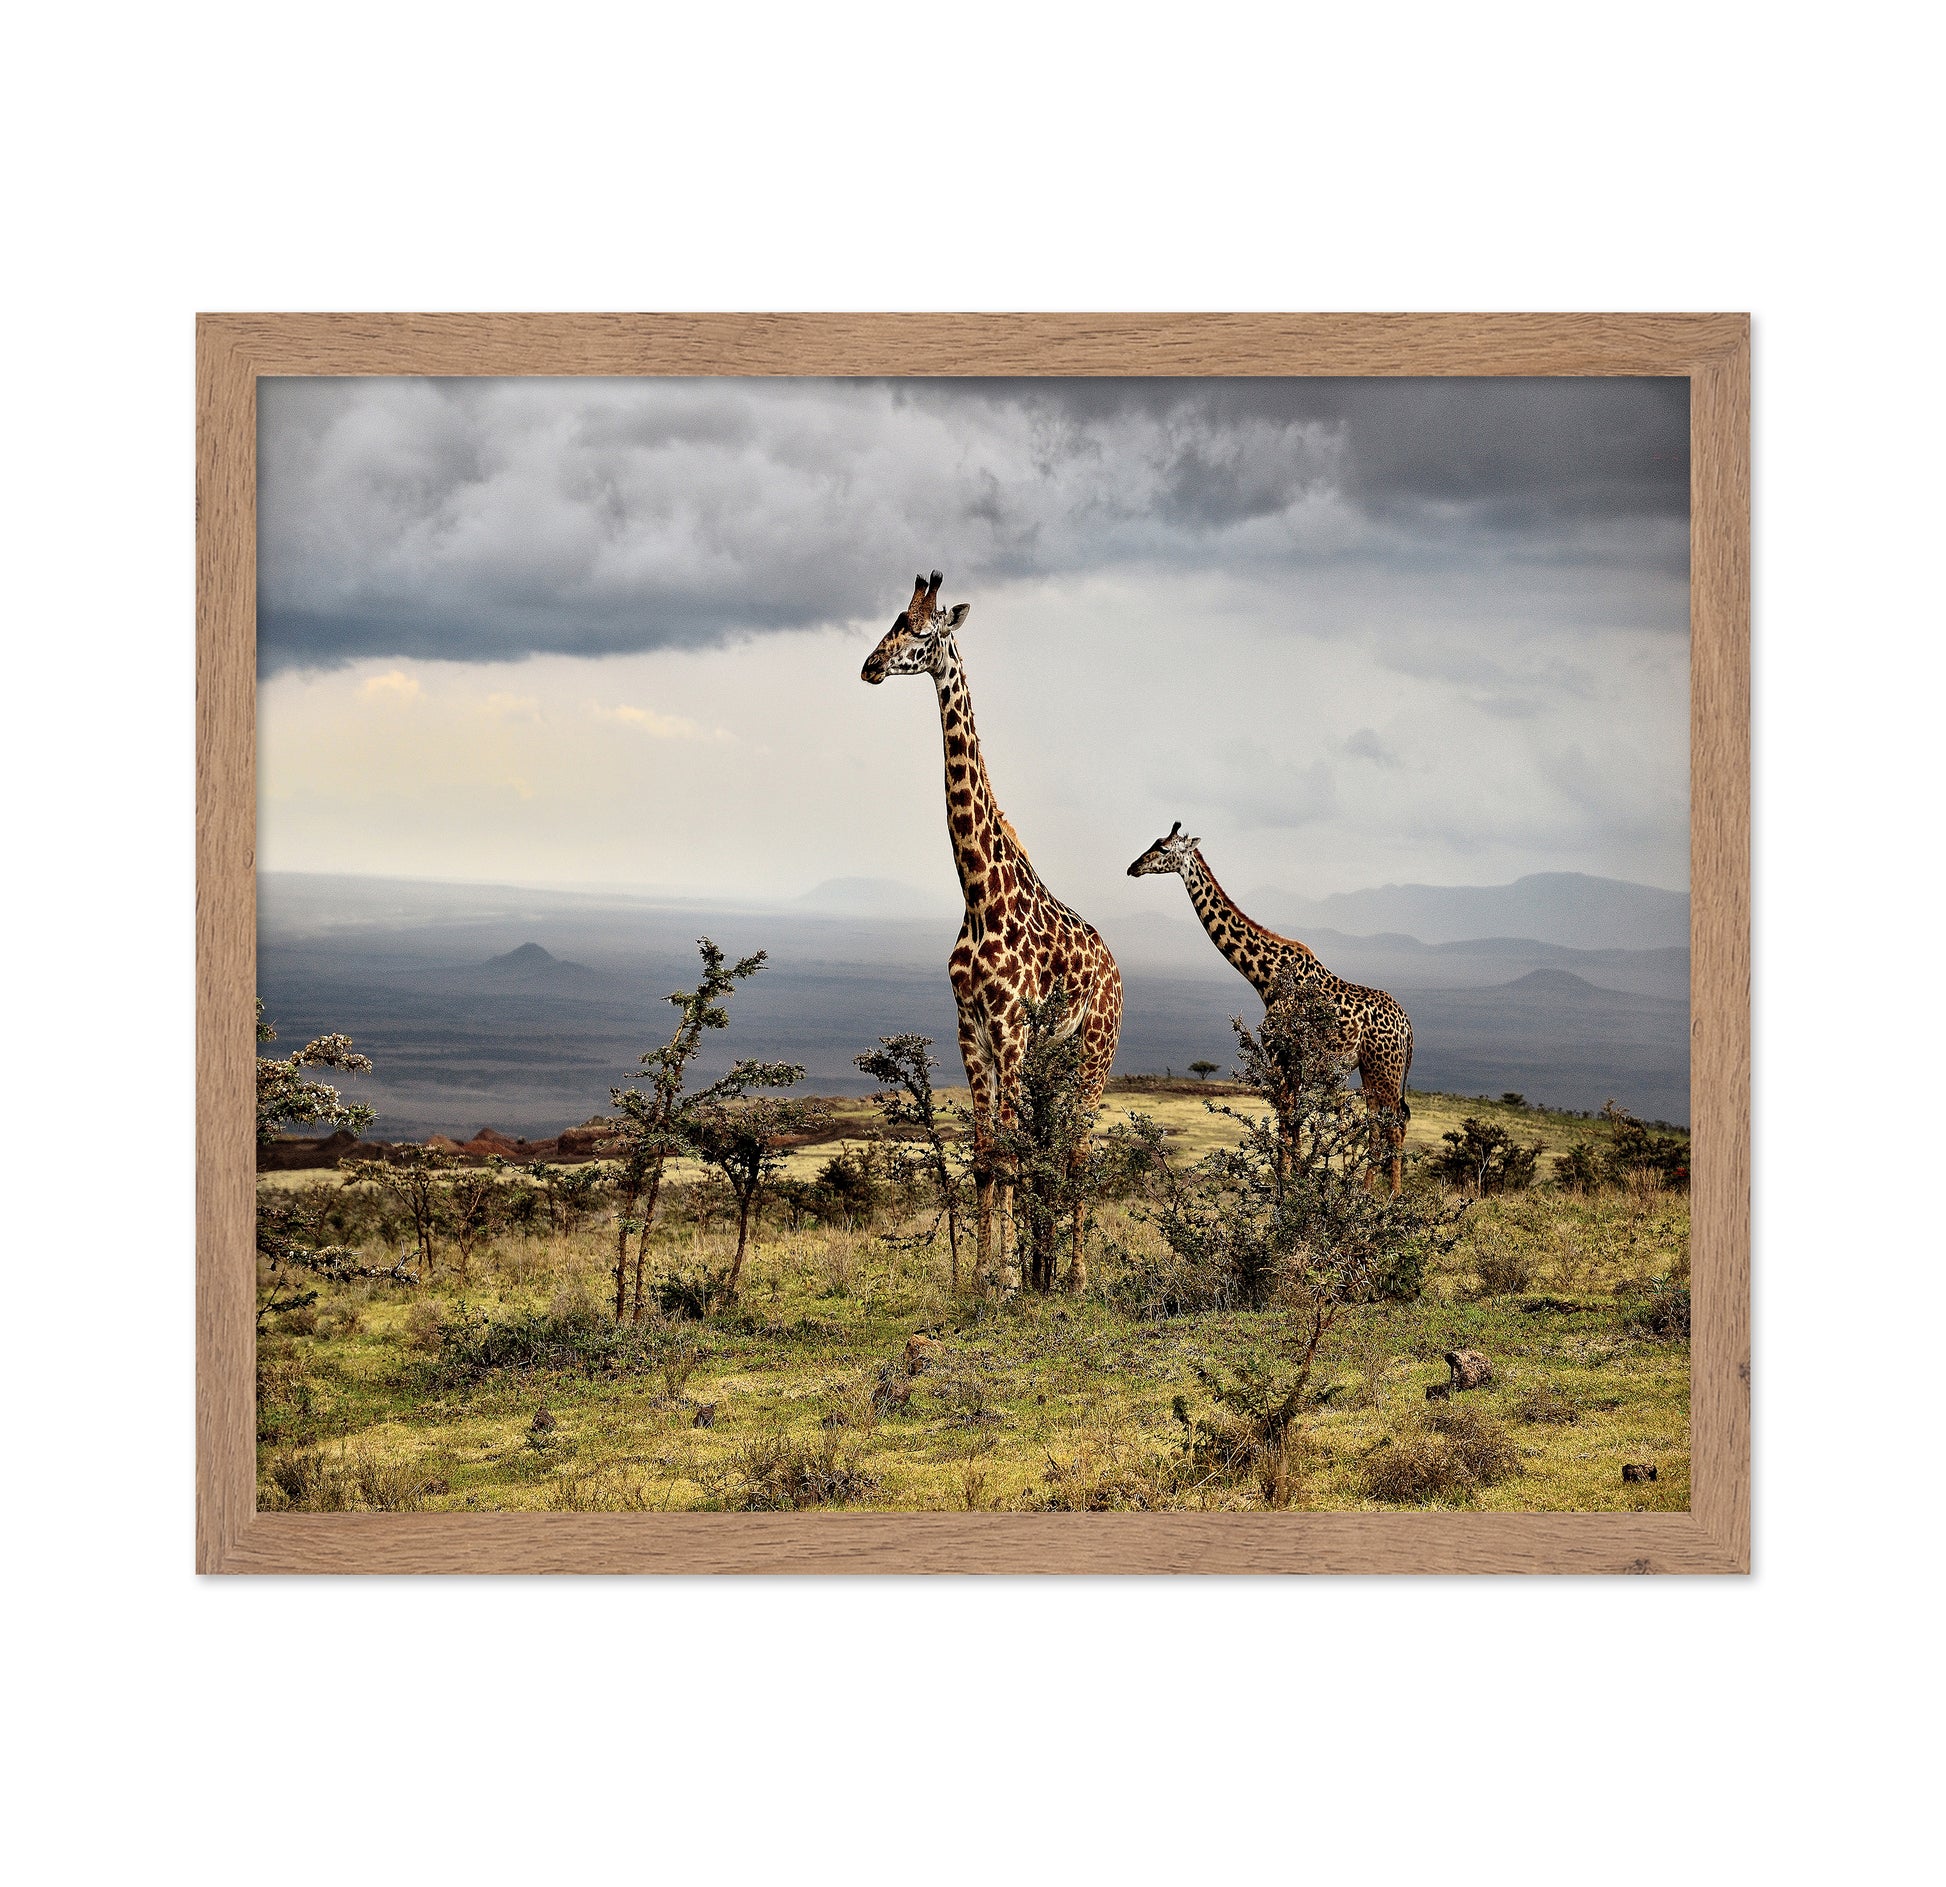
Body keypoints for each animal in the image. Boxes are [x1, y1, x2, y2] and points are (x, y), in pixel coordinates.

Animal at [862, 571, 1123, 1292]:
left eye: (924, 632)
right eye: (893, 619)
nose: (870, 666)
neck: (978, 893)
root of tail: (1115, 965)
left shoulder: (1008, 1029)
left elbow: (1004, 1154)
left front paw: (1003, 1282)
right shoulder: (970, 1030)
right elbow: (986, 1157)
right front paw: (982, 1277)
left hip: (1094, 1050)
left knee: (1079, 1148)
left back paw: (1074, 1277)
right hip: (1051, 1058)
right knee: (1049, 1147)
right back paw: (1045, 1268)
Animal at [1127, 821, 1415, 1193]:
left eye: (1163, 849)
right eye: (1154, 842)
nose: (1133, 867)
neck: (1265, 976)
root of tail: (1408, 1027)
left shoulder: (1280, 1055)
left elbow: (1286, 1124)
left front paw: (1286, 1189)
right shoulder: (1292, 1063)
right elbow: (1292, 1127)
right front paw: (1292, 1186)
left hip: (1386, 1069)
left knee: (1395, 1124)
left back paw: (1392, 1197)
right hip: (1370, 1069)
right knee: (1379, 1124)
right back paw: (1364, 1192)